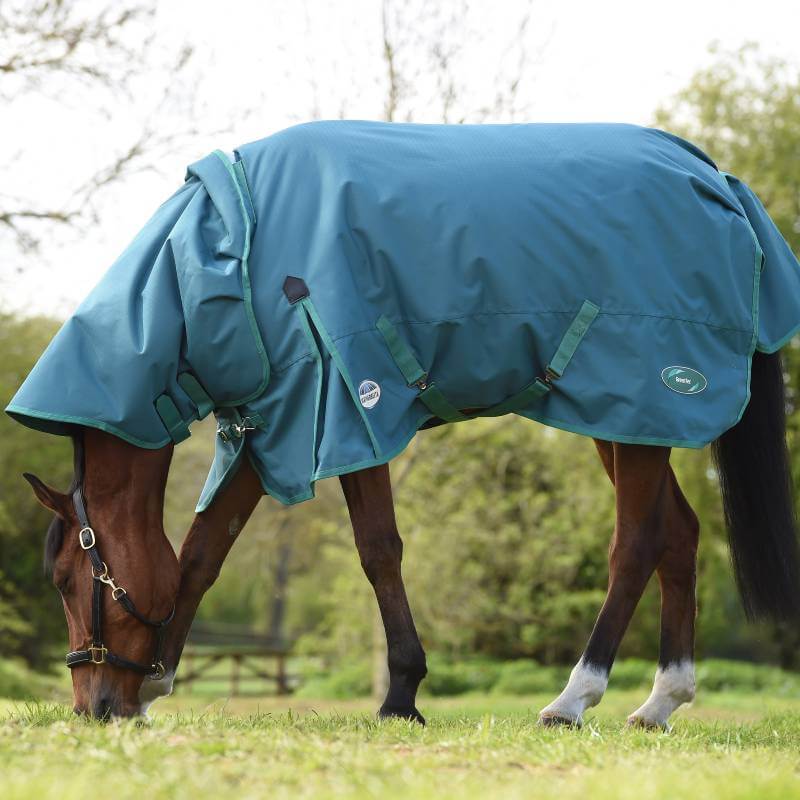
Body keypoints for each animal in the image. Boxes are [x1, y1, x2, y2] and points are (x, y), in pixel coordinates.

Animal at [14, 121, 800, 722]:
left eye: (66, 578)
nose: (93, 707)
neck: (232, 252)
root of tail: (718, 179)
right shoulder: (269, 427)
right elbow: (203, 553)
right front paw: (156, 685)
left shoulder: (348, 407)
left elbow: (378, 551)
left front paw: (401, 694)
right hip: (632, 422)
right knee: (680, 536)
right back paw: (662, 701)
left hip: (641, 409)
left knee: (634, 545)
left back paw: (574, 698)